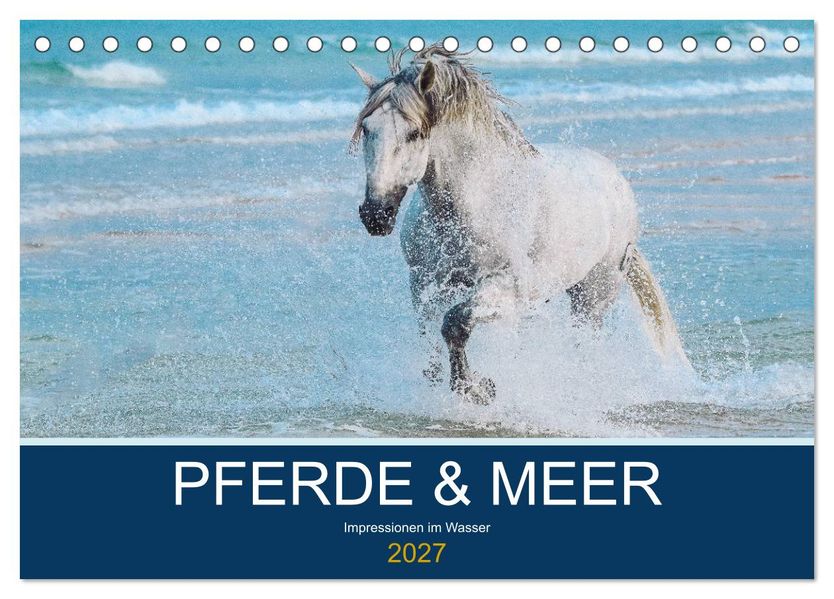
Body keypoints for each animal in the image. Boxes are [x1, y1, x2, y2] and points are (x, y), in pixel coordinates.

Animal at [350, 44, 691, 404]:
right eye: (367, 129)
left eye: (414, 133)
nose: (375, 214)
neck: (477, 200)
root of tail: (617, 182)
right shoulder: (426, 283)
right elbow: (431, 343)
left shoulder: (504, 286)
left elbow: (455, 323)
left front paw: (476, 388)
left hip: (594, 295)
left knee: (585, 345)